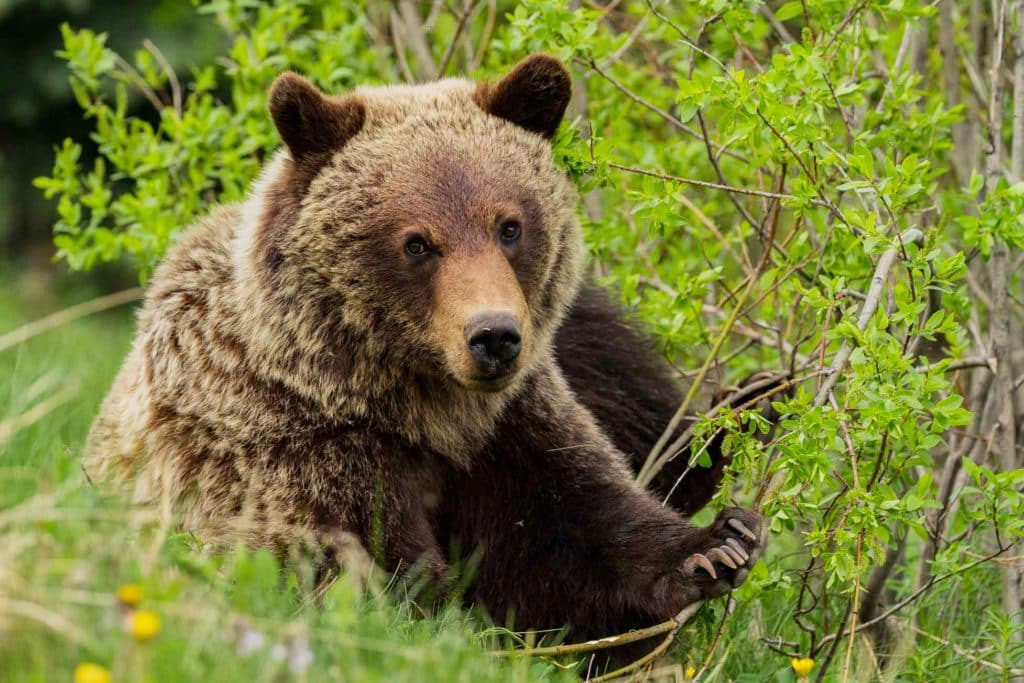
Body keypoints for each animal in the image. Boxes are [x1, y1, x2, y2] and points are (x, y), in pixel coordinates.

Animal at [86, 53, 761, 647]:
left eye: (510, 226)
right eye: (417, 243)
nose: (494, 336)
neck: (422, 408)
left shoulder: (510, 427)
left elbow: (574, 525)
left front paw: (715, 549)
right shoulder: (298, 452)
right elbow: (382, 577)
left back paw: (741, 413)